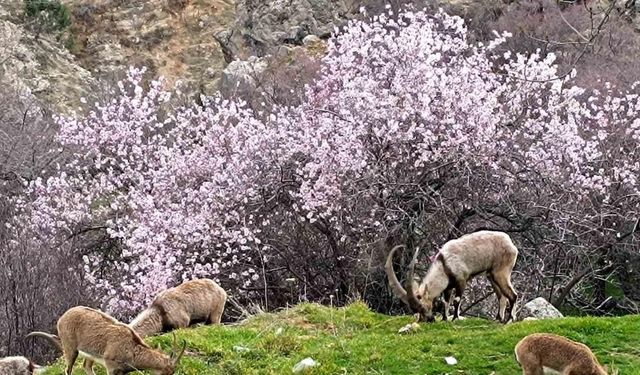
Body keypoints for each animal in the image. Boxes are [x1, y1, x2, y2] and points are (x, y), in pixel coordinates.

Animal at [28, 306, 186, 375]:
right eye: (166, 372)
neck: (131, 349)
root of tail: (62, 317)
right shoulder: (111, 366)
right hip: (70, 348)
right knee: (68, 369)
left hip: (90, 354)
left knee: (87, 366)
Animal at [382, 232, 516, 324]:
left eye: (423, 307)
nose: (428, 320)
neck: (444, 264)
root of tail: (511, 244)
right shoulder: (448, 287)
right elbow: (445, 302)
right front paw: (444, 319)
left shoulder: (461, 280)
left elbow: (456, 300)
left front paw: (455, 318)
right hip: (491, 275)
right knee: (502, 297)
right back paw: (498, 319)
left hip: (501, 272)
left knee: (513, 295)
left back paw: (509, 320)